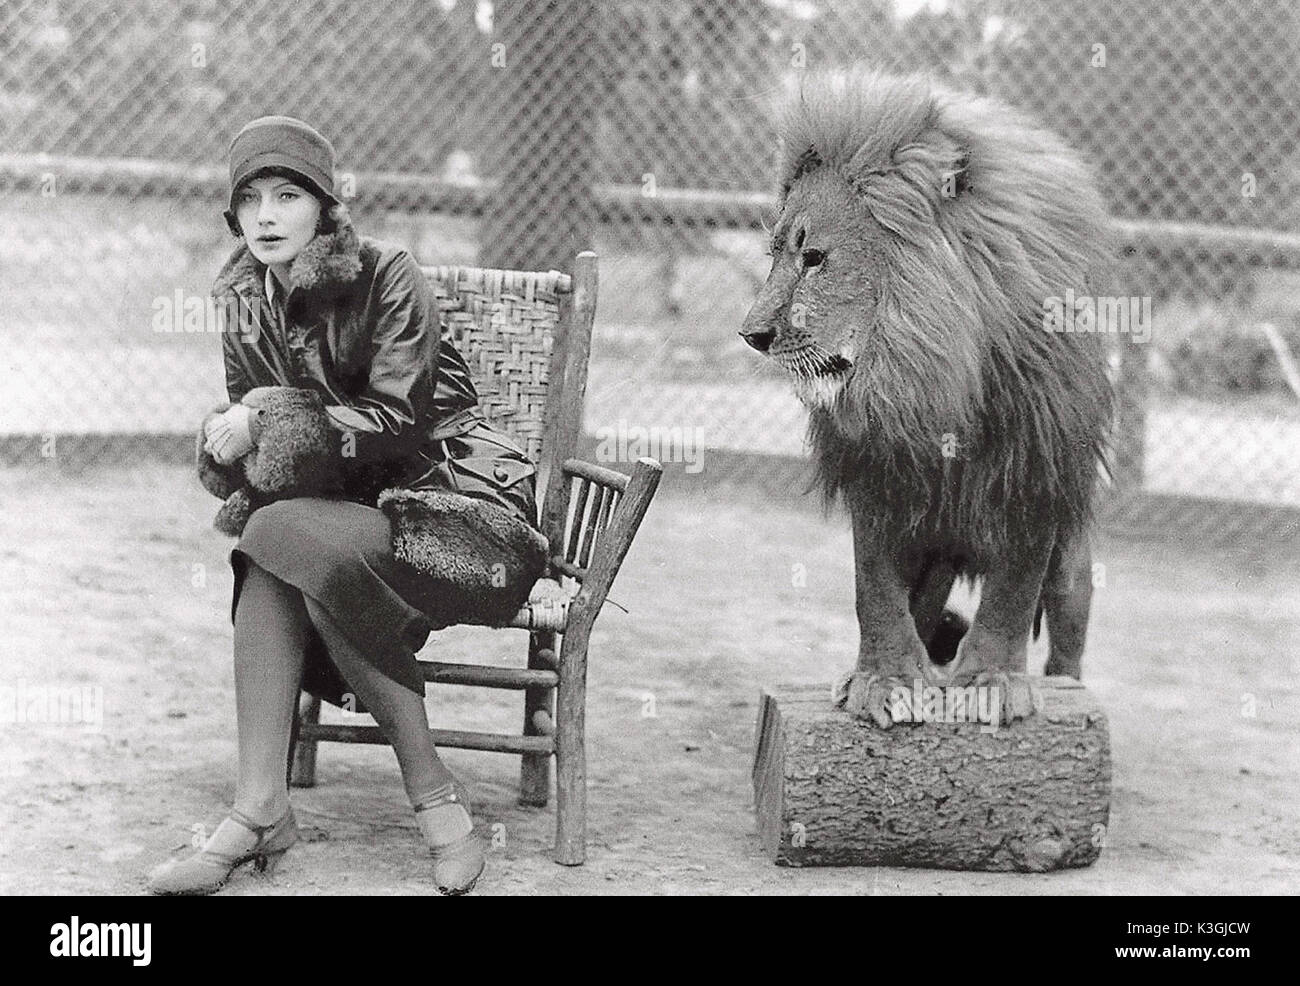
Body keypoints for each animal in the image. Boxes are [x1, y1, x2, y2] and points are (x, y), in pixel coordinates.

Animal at [748, 71, 1112, 728]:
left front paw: (993, 682)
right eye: (777, 254)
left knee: (1068, 618)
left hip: (1070, 555)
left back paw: (1067, 688)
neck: (931, 381)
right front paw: (884, 681)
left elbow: (1013, 592)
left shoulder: (1034, 470)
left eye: (814, 258)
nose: (752, 334)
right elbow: (874, 590)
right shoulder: (878, 472)